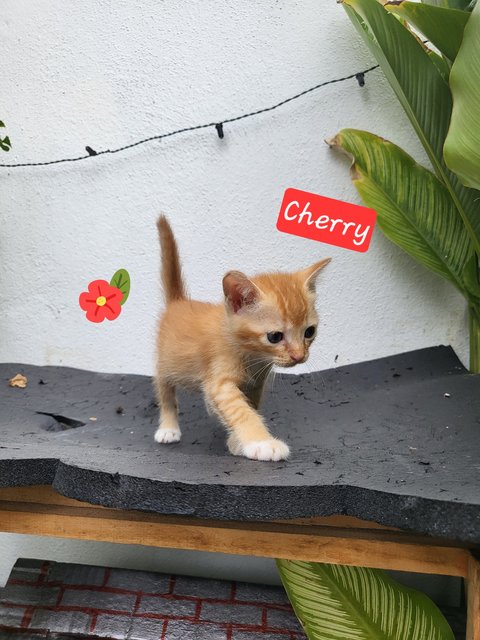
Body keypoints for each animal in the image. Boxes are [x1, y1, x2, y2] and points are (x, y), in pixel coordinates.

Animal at [155, 218, 330, 462]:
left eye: (309, 332)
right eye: (274, 336)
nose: (299, 356)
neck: (252, 356)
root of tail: (178, 302)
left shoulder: (256, 382)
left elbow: (250, 406)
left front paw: (236, 442)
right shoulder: (220, 382)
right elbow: (241, 411)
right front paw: (262, 443)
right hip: (166, 362)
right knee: (165, 391)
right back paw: (168, 427)